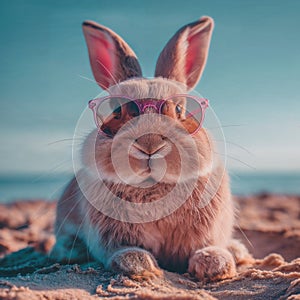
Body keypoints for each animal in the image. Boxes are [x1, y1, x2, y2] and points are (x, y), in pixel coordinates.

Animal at [50, 16, 250, 282]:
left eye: (179, 109)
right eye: (117, 110)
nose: (150, 144)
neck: (153, 186)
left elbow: (206, 245)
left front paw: (215, 263)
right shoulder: (111, 235)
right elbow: (122, 248)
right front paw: (138, 264)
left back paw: (236, 251)